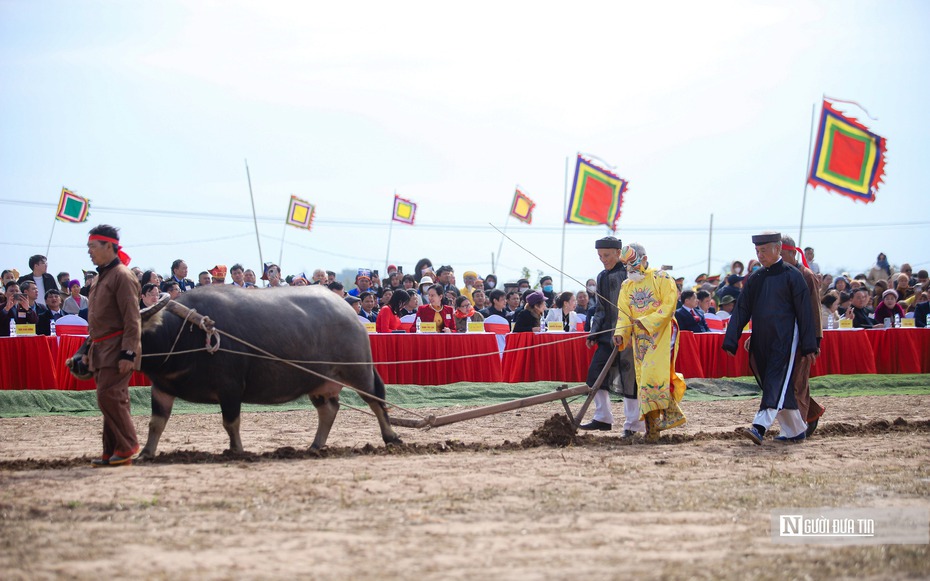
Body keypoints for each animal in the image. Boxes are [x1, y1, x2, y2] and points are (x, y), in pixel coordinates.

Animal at [138, 284, 398, 458]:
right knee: (329, 410)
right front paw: (146, 452)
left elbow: (231, 422)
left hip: (359, 371)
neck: (184, 333)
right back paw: (314, 446)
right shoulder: (161, 388)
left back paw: (393, 438)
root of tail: (349, 313)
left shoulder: (230, 388)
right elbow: (156, 423)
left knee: (377, 401)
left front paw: (237, 450)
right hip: (318, 382)